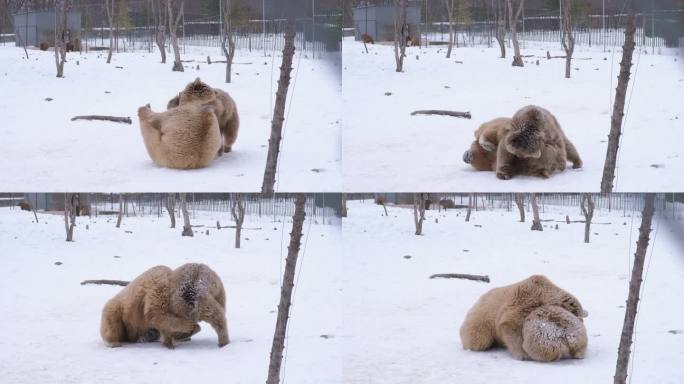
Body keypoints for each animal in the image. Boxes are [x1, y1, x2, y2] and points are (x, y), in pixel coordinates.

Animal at [100, 264, 230, 348]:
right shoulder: (159, 291)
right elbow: (157, 314)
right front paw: (189, 327)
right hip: (119, 308)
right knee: (112, 321)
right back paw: (114, 343)